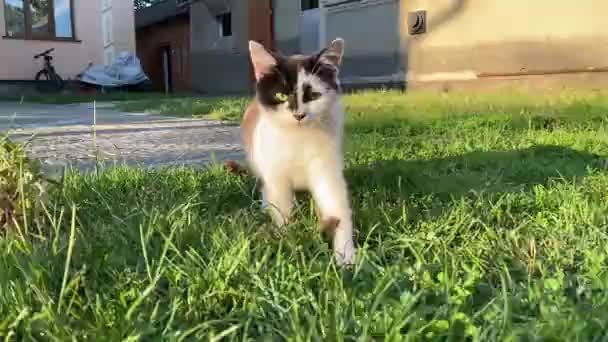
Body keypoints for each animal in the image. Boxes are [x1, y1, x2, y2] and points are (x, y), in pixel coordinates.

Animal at [234, 38, 356, 268]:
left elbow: (336, 203)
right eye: (281, 95)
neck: (299, 139)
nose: (299, 115)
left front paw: (346, 256)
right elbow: (281, 203)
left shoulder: (327, 166)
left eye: (314, 95)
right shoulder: (275, 169)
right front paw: (288, 241)